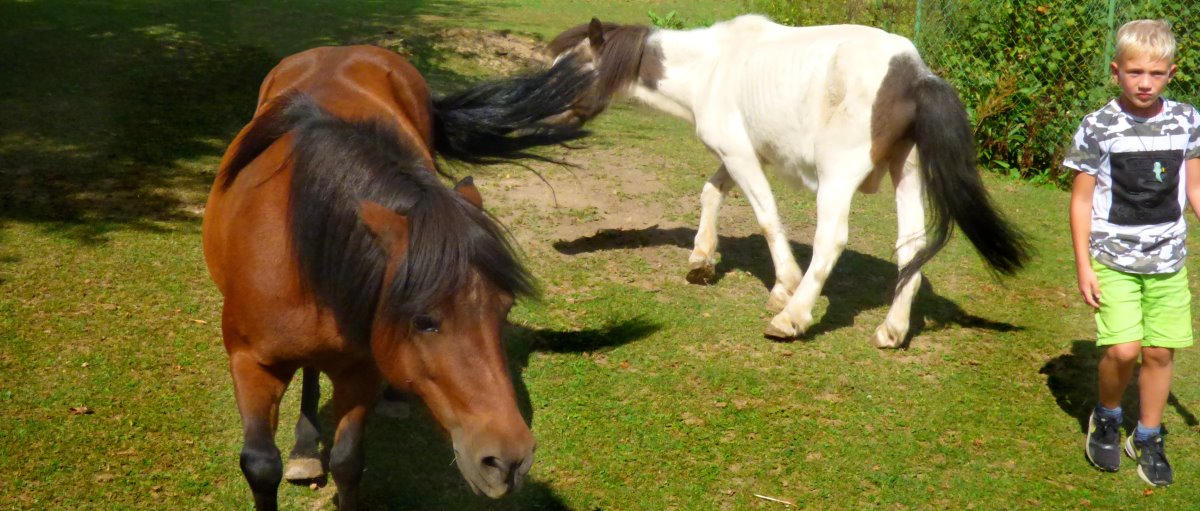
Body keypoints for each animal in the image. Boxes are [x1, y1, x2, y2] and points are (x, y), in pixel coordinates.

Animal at [205, 45, 595, 508]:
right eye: (424, 321)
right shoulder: (250, 363)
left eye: (504, 311)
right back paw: (305, 449)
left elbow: (348, 461)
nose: (509, 461)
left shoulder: (358, 369)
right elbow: (262, 466)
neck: (293, 238)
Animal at [552, 15, 1032, 347]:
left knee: (831, 241)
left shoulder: (741, 156)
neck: (712, 68)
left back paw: (793, 318)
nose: (534, 121)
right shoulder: (740, 154)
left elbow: (767, 218)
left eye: (567, 75)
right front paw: (702, 261)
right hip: (907, 173)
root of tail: (915, 74)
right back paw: (892, 330)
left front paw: (783, 288)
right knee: (911, 249)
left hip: (837, 179)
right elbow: (710, 193)